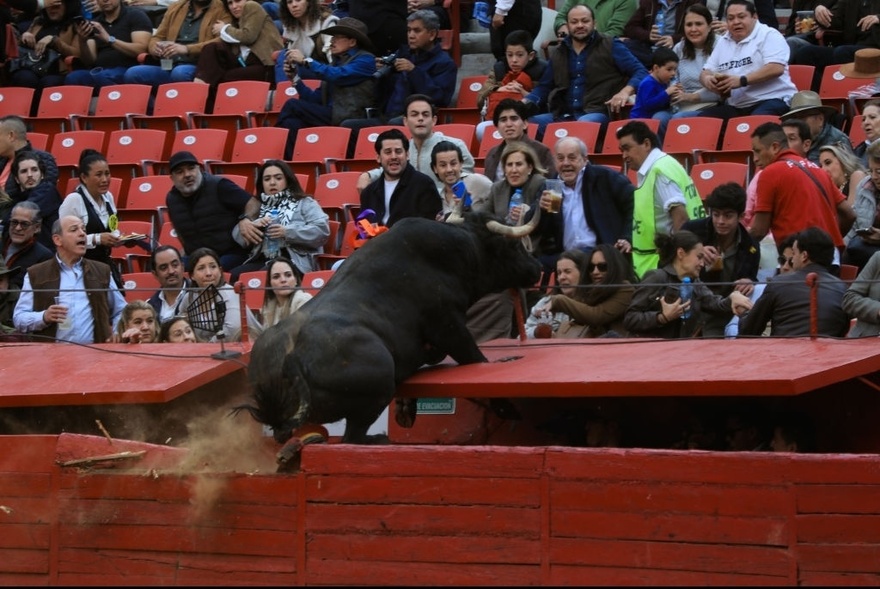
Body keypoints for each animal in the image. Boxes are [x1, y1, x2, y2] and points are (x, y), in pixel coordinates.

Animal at [241, 209, 544, 444]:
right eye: (513, 246)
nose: (537, 268)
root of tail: (291, 357)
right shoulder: (449, 325)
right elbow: (476, 360)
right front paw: (507, 408)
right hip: (375, 394)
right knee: (352, 438)